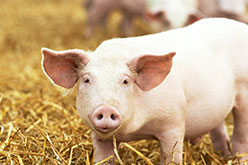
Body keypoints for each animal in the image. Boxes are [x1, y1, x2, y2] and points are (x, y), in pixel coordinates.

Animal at [41, 18, 248, 164]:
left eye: (125, 80)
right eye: (86, 80)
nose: (106, 109)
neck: (134, 130)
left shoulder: (173, 124)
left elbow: (172, 157)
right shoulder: (99, 137)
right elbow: (104, 158)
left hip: (244, 97)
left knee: (240, 138)